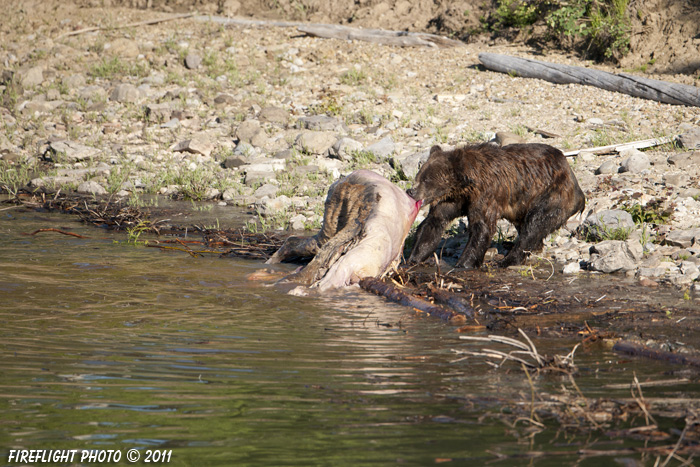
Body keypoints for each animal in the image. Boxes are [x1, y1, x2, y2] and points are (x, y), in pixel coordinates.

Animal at [404, 143, 584, 268]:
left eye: (427, 180)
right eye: (419, 176)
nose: (410, 191)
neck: (464, 186)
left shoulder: (486, 196)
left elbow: (482, 227)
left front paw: (463, 264)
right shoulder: (452, 200)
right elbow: (434, 222)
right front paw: (413, 257)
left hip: (551, 194)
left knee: (535, 224)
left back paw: (507, 260)